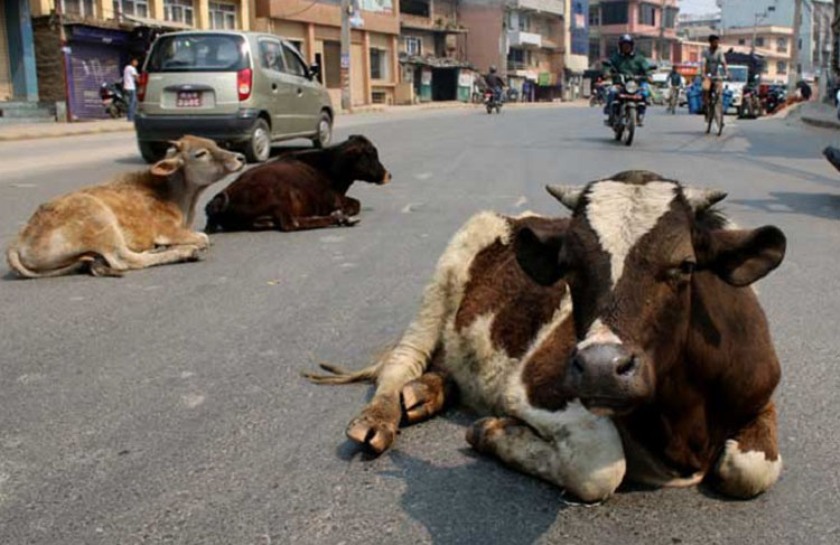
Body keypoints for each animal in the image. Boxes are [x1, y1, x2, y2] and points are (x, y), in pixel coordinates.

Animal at [203, 135, 390, 233]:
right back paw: (339, 218)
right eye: (370, 154)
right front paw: (344, 212)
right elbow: (356, 203)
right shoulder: (334, 199)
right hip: (281, 199)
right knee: (292, 224)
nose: (388, 175)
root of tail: (219, 199)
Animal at [308, 171, 788, 502]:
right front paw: (492, 430)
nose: (601, 369)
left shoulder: (762, 394)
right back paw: (379, 417)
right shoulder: (534, 388)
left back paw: (427, 392)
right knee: (402, 360)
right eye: (569, 265)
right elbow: (599, 467)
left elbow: (750, 469)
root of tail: (523, 217)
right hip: (445, 274)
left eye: (685, 265)